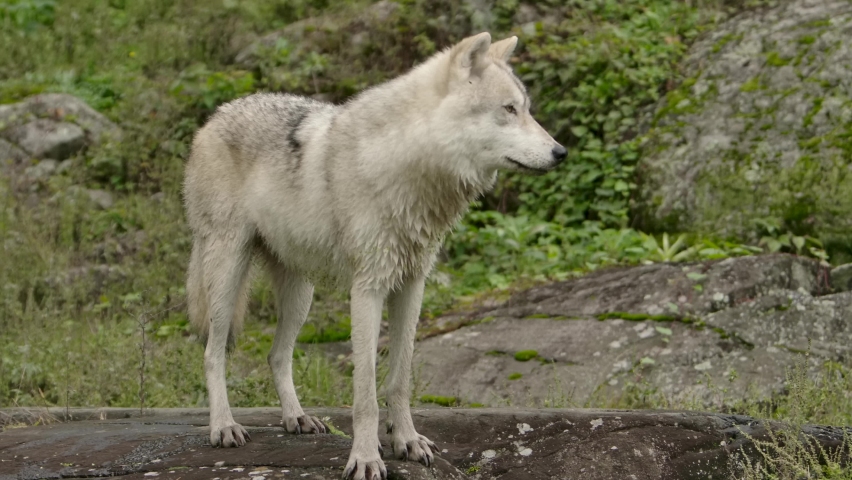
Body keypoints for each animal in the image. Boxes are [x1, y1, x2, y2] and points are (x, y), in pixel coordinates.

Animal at [183, 32, 565, 480]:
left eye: (526, 109)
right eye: (509, 109)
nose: (561, 152)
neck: (407, 168)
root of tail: (215, 117)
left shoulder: (412, 286)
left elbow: (400, 379)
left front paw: (407, 441)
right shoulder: (368, 288)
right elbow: (365, 391)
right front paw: (366, 458)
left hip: (301, 294)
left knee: (277, 354)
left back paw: (296, 418)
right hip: (227, 277)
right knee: (212, 353)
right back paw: (224, 426)